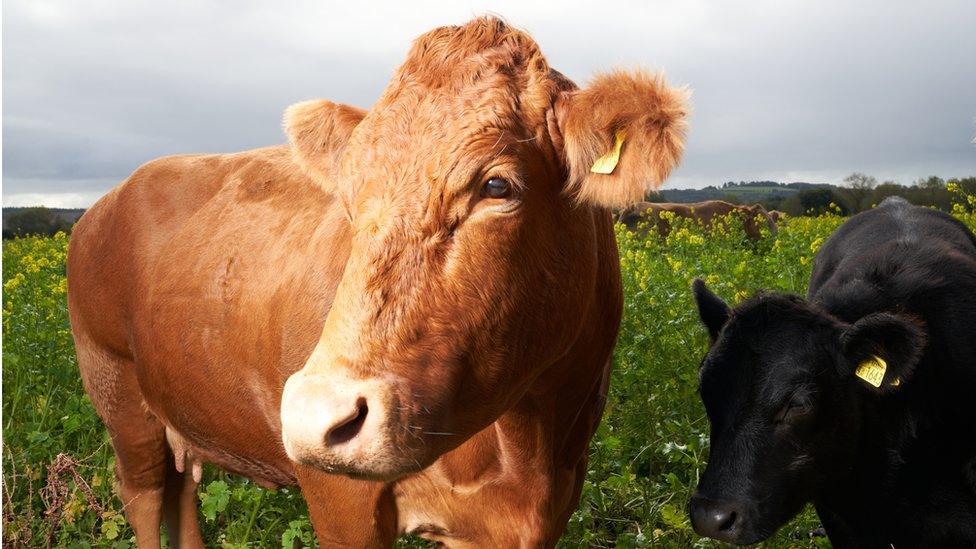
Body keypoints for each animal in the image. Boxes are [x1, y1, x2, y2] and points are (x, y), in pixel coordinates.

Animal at [66, 18, 688, 548]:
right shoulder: (341, 499)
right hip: (119, 394)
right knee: (145, 496)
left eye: (497, 186)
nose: (312, 415)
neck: (527, 448)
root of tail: (109, 200)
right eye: (348, 193)